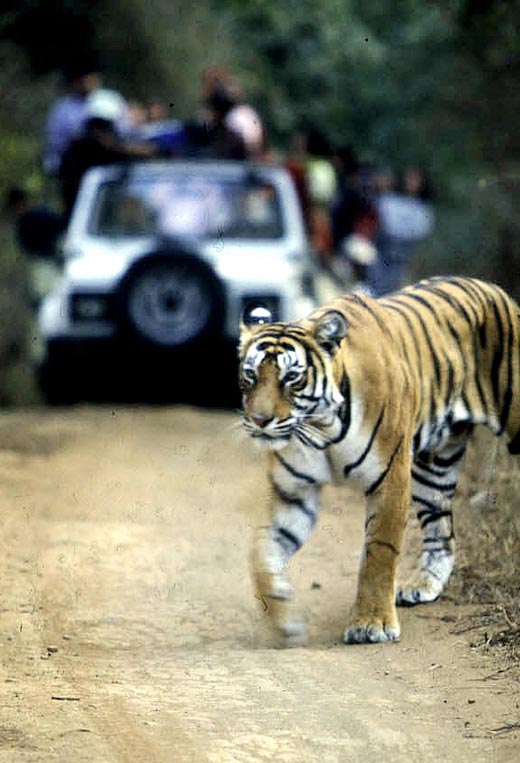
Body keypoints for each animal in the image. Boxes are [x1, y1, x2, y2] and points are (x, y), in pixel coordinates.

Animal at [239, 276, 520, 644]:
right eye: (250, 376)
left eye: (292, 378)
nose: (259, 420)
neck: (321, 426)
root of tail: (493, 287)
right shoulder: (293, 493)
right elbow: (262, 552)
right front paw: (285, 620)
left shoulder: (390, 477)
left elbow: (379, 552)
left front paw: (371, 624)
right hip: (434, 465)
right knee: (441, 529)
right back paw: (424, 584)